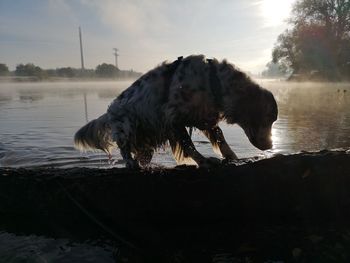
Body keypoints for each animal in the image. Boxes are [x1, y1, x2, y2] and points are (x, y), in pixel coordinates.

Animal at [74, 55, 278, 169]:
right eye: (268, 118)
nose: (270, 145)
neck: (212, 81)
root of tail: (109, 113)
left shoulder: (203, 117)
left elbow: (219, 137)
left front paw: (232, 157)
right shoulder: (173, 117)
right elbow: (189, 145)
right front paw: (204, 161)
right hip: (128, 125)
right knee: (124, 148)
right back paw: (131, 163)